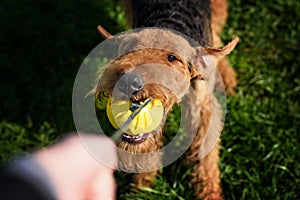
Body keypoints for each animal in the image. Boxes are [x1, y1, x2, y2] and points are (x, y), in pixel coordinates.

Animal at [95, 0, 238, 198]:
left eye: (172, 57)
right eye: (129, 50)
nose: (129, 82)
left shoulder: (203, 107)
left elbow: (205, 158)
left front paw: (210, 193)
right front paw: (142, 188)